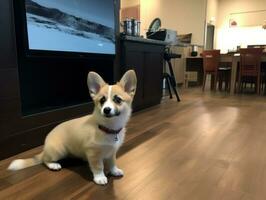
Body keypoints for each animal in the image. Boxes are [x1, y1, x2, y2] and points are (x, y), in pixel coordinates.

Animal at [7, 69, 137, 185]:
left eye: (118, 99)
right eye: (102, 100)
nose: (106, 110)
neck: (109, 127)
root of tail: (45, 148)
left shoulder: (112, 152)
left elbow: (112, 162)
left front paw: (114, 171)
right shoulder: (93, 153)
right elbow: (98, 166)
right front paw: (100, 177)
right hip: (59, 150)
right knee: (45, 160)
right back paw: (53, 165)